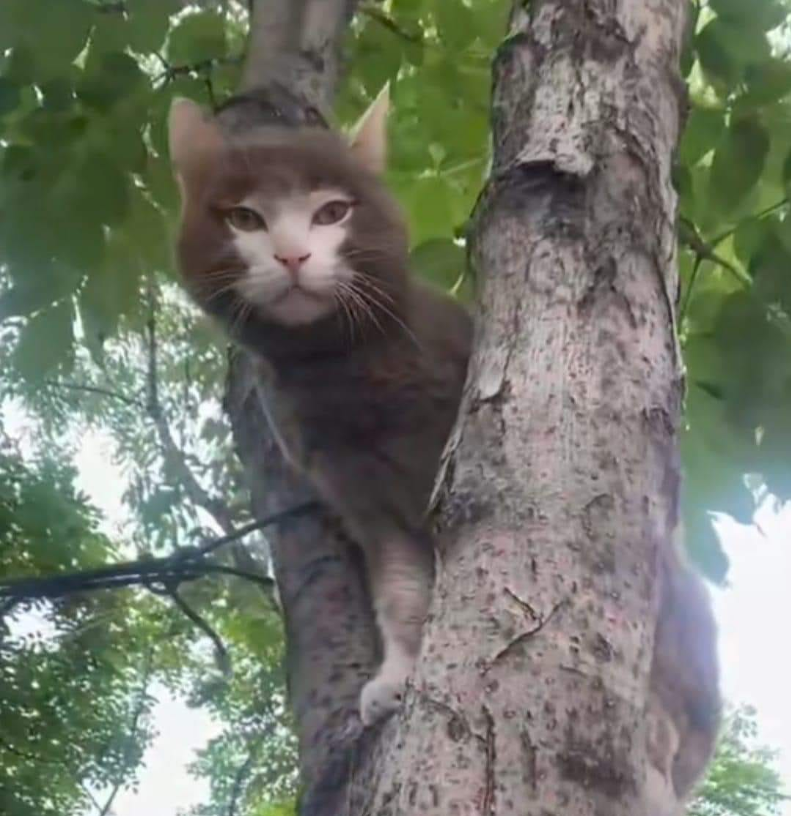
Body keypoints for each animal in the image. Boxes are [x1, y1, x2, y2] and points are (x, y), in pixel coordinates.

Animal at [170, 91, 720, 792]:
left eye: (331, 212)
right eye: (244, 217)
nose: (292, 255)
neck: (343, 370)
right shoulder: (361, 495)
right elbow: (401, 590)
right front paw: (397, 676)